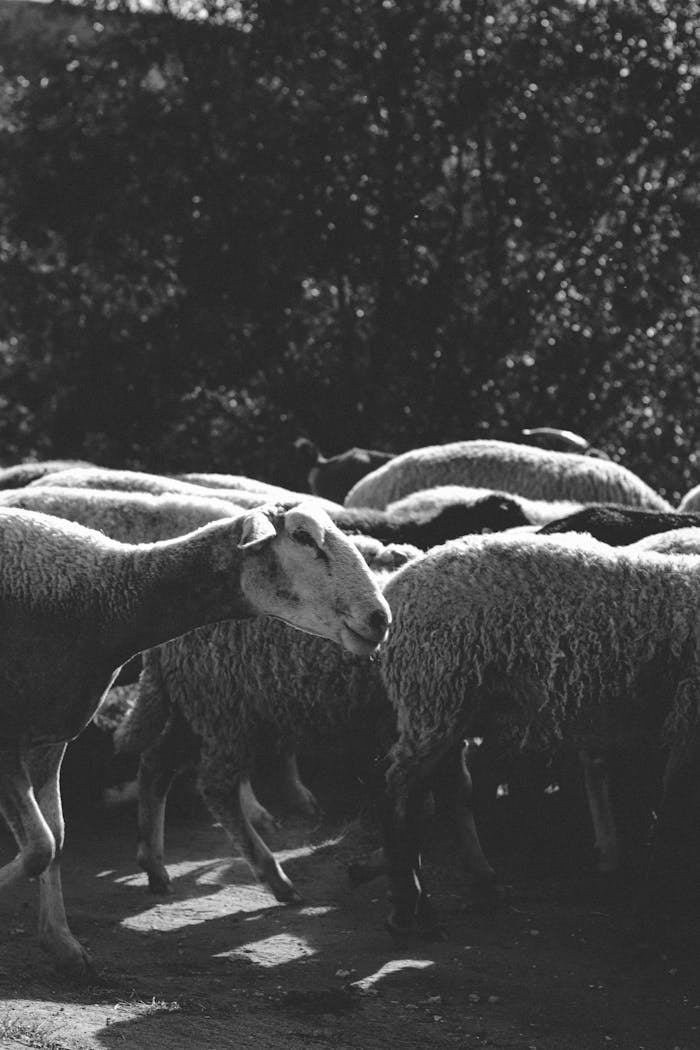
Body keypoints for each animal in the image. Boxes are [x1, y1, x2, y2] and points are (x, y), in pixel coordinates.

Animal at [114, 540, 420, 911]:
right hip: (226, 710)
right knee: (215, 788)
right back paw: (275, 877)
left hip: (198, 706)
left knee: (156, 765)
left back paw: (155, 866)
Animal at [374, 529, 700, 938]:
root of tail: (398, 584)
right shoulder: (689, 713)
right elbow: (675, 808)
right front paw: (653, 900)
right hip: (433, 693)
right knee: (397, 794)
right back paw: (404, 911)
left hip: (452, 706)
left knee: (435, 792)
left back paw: (454, 894)